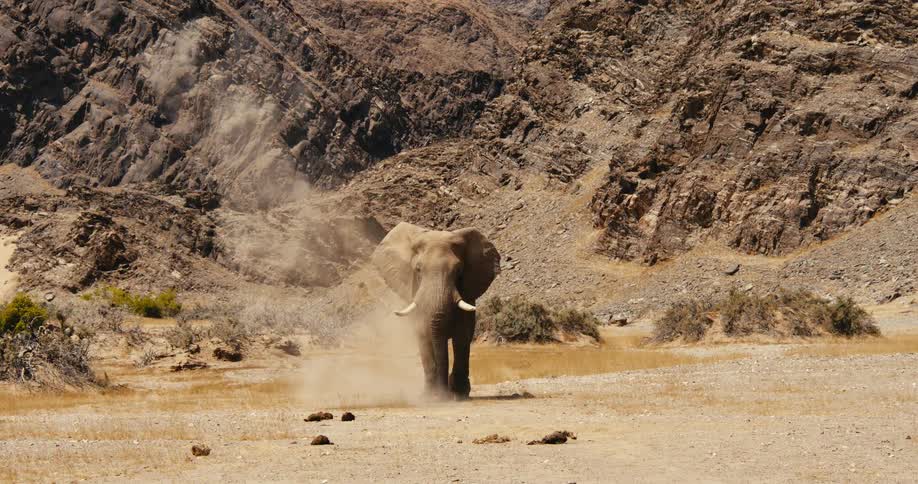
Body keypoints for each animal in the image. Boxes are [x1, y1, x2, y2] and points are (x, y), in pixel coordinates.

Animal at [371, 222, 500, 400]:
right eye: (418, 269)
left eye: (458, 271)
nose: (444, 395)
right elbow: (423, 337)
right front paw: (431, 397)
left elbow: (462, 337)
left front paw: (458, 395)